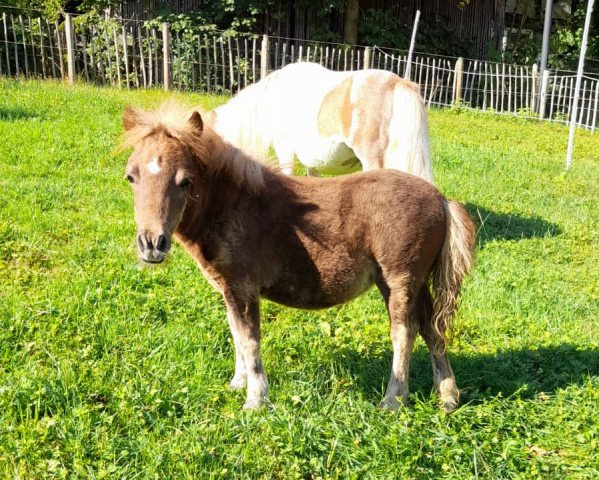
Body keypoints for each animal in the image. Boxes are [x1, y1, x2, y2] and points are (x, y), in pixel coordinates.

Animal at [123, 104, 478, 412]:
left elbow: (249, 340)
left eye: (185, 181)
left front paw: (255, 401)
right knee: (432, 329)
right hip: (416, 284)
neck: (232, 206)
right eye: (131, 176)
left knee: (404, 333)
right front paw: (237, 384)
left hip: (399, 280)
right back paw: (447, 396)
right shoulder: (228, 290)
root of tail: (441, 200)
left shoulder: (243, 288)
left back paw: (393, 401)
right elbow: (235, 334)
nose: (152, 244)